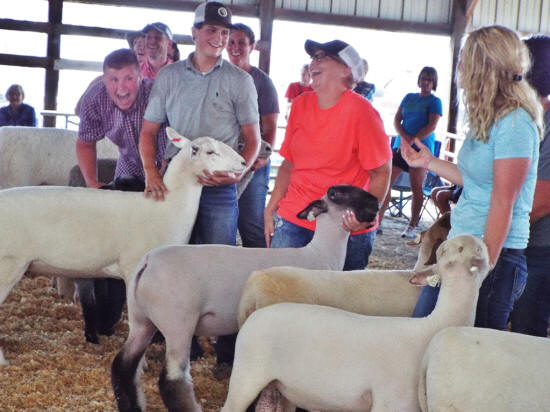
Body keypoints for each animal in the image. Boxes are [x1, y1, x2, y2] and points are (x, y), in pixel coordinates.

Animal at [110, 184, 380, 412]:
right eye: (336, 194)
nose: (376, 202)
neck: (321, 254)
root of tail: (147, 262)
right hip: (179, 323)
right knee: (172, 380)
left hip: (141, 319)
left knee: (122, 366)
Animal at [221, 234, 490, 412]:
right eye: (451, 250)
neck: (431, 327)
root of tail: (253, 313)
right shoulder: (390, 403)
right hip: (246, 376)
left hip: (278, 383)